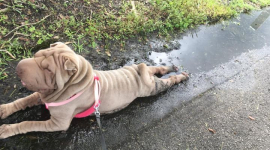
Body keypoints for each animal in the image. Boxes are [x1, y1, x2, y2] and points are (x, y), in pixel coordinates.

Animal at [0, 42, 188, 138]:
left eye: (48, 69)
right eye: (35, 55)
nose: (18, 68)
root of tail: (138, 72)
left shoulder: (58, 123)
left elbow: (29, 123)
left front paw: (6, 129)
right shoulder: (43, 95)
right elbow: (22, 101)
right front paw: (4, 109)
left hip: (152, 88)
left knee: (167, 81)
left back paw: (181, 76)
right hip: (144, 71)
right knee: (156, 68)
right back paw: (170, 67)